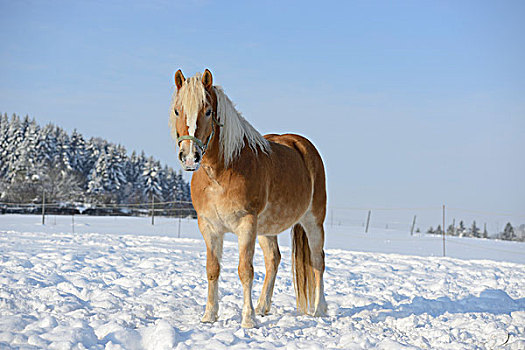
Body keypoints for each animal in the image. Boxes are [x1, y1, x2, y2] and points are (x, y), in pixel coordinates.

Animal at [170, 69, 326, 328]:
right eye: (176, 110)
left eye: (208, 111)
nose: (190, 157)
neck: (220, 173)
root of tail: (302, 145)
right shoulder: (209, 227)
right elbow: (212, 269)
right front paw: (209, 316)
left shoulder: (246, 224)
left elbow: (245, 270)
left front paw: (247, 319)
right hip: (267, 229)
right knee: (273, 260)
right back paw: (263, 307)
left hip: (313, 221)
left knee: (317, 260)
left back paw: (319, 309)